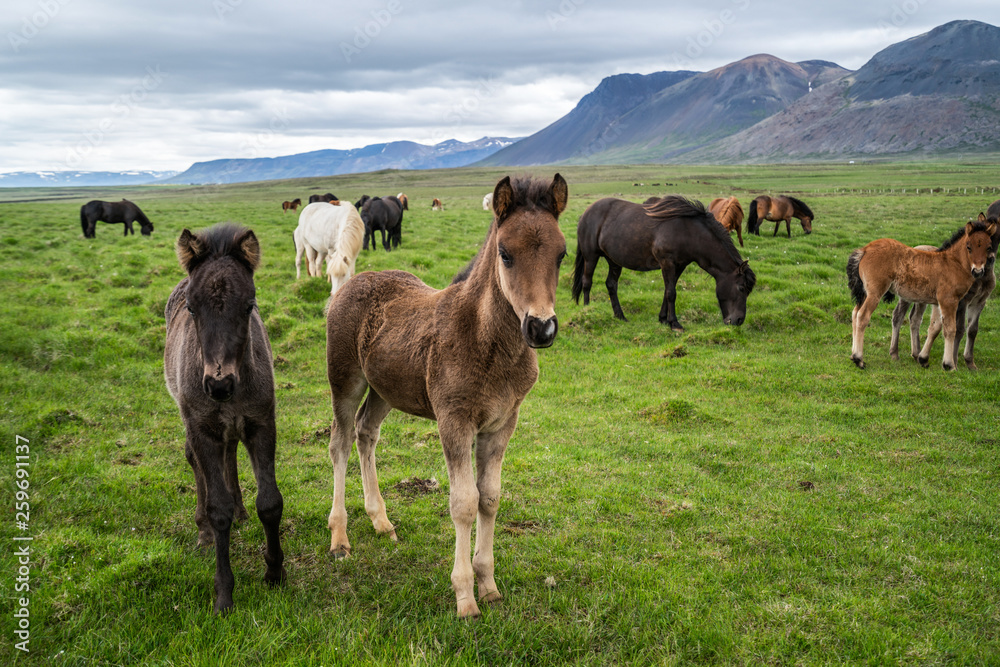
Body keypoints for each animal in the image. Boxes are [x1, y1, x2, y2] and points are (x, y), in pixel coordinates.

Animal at [160, 222, 286, 612]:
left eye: (249, 306)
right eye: (191, 307)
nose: (219, 385)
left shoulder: (261, 423)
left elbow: (270, 503)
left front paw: (275, 573)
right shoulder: (203, 429)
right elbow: (218, 510)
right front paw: (224, 594)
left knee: (230, 453)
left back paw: (242, 510)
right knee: (194, 461)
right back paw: (202, 531)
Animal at [322, 174, 568, 620]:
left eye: (562, 254)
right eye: (505, 253)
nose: (541, 328)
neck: (488, 342)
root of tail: (350, 284)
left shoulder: (502, 422)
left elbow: (490, 498)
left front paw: (489, 585)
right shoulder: (455, 421)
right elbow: (464, 503)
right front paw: (465, 596)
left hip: (385, 389)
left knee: (366, 433)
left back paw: (381, 520)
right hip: (345, 381)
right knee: (340, 443)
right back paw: (340, 538)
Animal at [848, 222, 996, 374]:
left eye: (989, 247)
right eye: (968, 246)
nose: (978, 271)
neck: (953, 263)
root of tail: (865, 249)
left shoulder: (938, 303)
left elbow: (936, 326)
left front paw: (924, 359)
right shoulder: (949, 300)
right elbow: (950, 329)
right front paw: (950, 365)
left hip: (865, 292)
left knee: (855, 313)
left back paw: (853, 354)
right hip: (875, 292)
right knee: (863, 315)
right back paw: (859, 359)